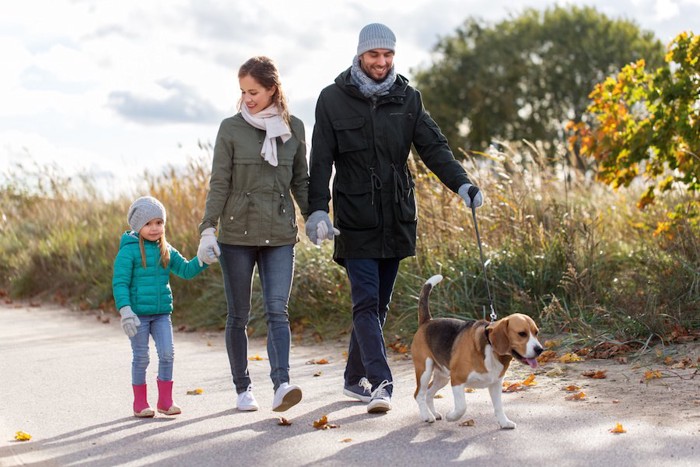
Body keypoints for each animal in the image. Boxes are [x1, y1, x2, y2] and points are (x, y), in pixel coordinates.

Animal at [412, 274, 544, 432]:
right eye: (522, 334)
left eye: (536, 333)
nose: (540, 349)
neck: (490, 348)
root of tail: (427, 321)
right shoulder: (457, 380)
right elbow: (462, 407)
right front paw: (451, 417)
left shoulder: (495, 384)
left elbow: (499, 407)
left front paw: (504, 422)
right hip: (425, 370)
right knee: (419, 394)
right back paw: (427, 416)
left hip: (442, 377)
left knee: (429, 393)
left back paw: (434, 413)